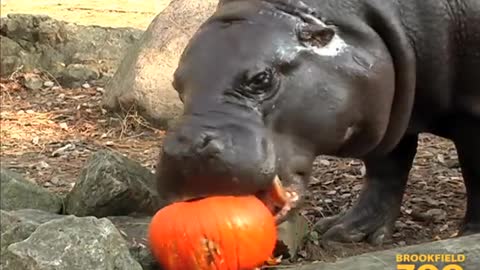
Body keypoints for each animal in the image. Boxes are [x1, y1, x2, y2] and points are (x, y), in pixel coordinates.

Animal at [156, 0, 478, 245]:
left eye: (261, 79)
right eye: (176, 85)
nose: (185, 150)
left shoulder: (469, 112)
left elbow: (474, 171)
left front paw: (470, 234)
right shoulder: (388, 116)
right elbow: (385, 170)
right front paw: (345, 231)